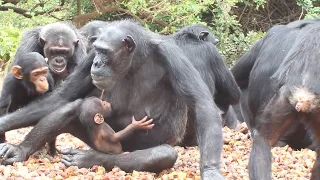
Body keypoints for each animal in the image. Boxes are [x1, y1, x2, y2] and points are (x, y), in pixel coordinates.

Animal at [0, 19, 240, 180]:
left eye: (105, 51)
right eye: (97, 50)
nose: (97, 62)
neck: (135, 58)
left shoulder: (172, 54)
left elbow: (202, 104)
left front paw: (210, 170)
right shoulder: (86, 57)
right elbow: (63, 97)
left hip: (131, 147)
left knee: (161, 153)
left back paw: (88, 159)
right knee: (70, 107)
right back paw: (20, 150)